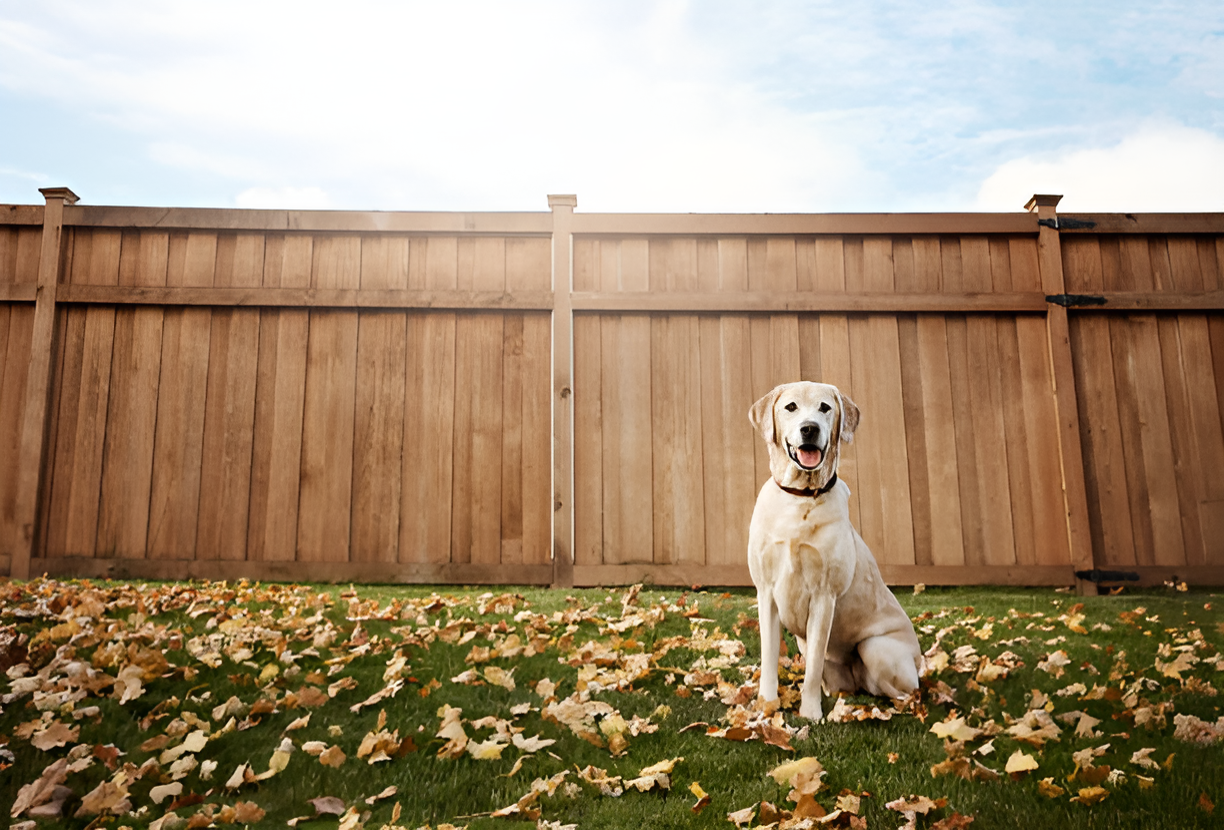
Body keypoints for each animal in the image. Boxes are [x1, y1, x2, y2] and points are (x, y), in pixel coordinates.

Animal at [744, 384, 920, 719]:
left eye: (825, 407)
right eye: (790, 407)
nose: (809, 429)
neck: (800, 499)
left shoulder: (824, 597)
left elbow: (813, 666)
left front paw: (811, 714)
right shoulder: (767, 593)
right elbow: (769, 657)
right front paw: (766, 705)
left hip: (875, 648)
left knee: (907, 694)